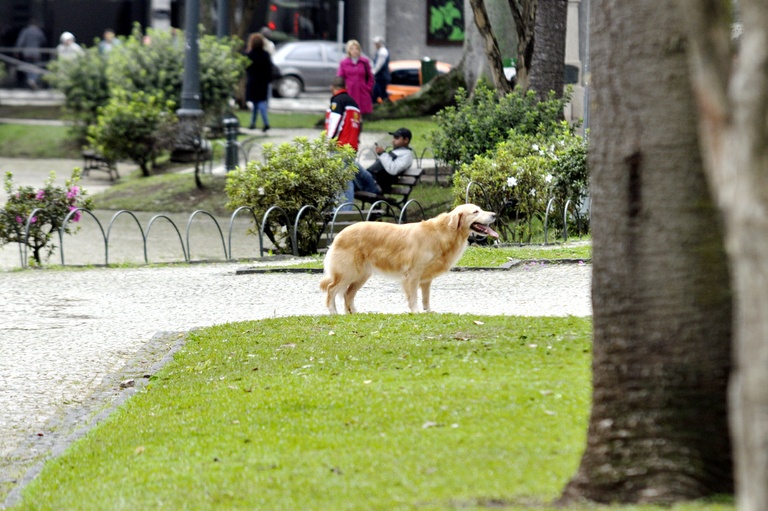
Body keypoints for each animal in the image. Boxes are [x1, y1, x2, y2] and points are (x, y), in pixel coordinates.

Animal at [318, 203, 498, 314]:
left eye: (480, 209)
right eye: (475, 211)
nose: (494, 214)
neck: (443, 234)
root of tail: (339, 234)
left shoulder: (426, 278)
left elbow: (426, 298)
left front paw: (428, 312)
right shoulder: (412, 274)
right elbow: (414, 296)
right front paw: (416, 312)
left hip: (362, 275)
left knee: (348, 294)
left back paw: (355, 314)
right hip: (348, 272)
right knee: (331, 289)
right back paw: (333, 312)